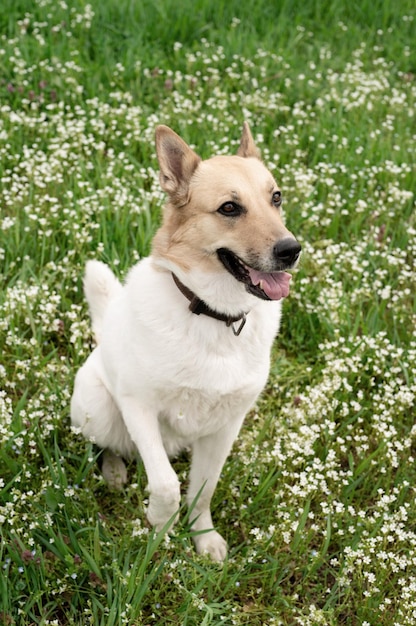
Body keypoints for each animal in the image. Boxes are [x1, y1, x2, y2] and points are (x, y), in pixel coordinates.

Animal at [70, 119, 300, 560]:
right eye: (229, 208)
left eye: (276, 198)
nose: (291, 250)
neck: (215, 315)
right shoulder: (138, 406)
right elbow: (166, 484)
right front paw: (159, 527)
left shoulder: (226, 426)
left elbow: (203, 488)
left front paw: (202, 536)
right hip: (98, 408)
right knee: (111, 446)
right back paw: (114, 472)